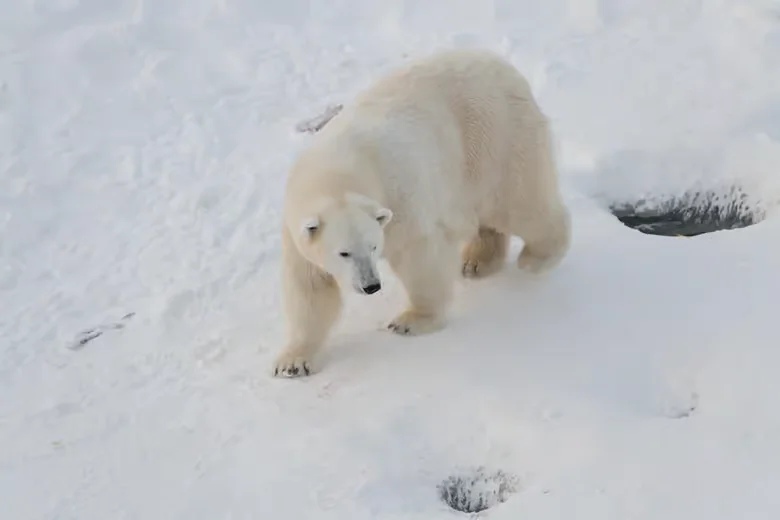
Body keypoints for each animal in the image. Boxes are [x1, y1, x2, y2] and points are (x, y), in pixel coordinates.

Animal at [272, 48, 571, 378]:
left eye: (373, 246)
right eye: (344, 253)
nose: (371, 286)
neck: (338, 169)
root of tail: (508, 70)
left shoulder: (399, 196)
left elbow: (419, 256)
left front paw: (411, 320)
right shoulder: (296, 229)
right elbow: (309, 287)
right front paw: (292, 362)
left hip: (495, 138)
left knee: (521, 203)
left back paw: (537, 258)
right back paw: (476, 261)